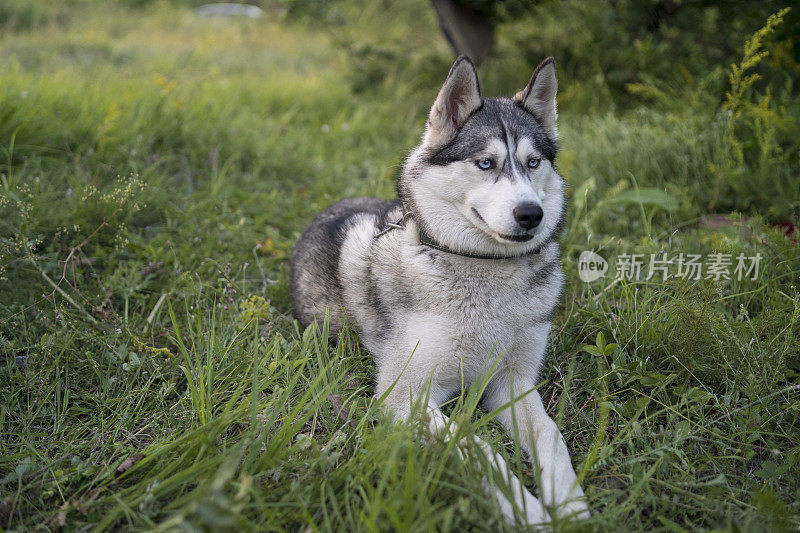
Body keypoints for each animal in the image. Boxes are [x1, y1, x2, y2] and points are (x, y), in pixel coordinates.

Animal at [290, 55, 592, 524]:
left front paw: (569, 502)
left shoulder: (513, 382)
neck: (484, 270)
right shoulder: (406, 397)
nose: (531, 214)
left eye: (533, 162)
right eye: (485, 163)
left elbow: (551, 434)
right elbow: (478, 447)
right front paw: (525, 510)